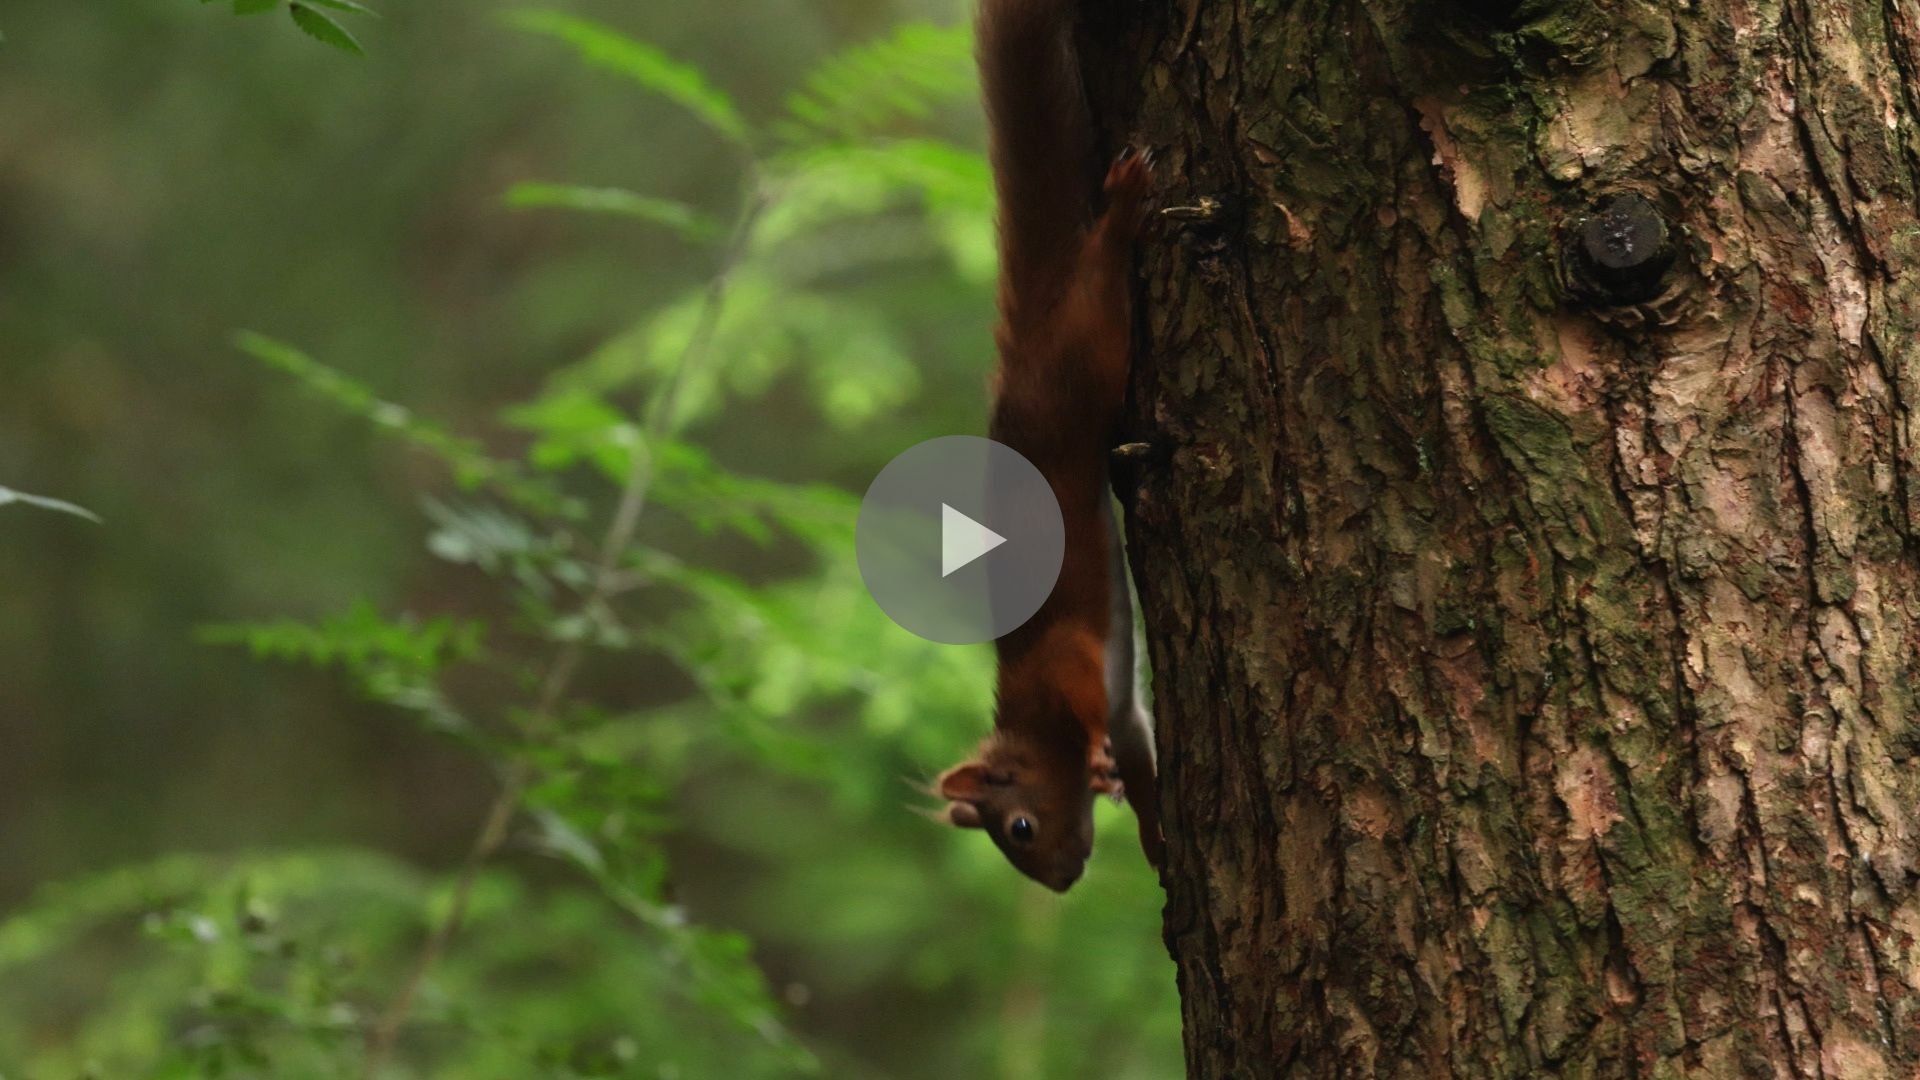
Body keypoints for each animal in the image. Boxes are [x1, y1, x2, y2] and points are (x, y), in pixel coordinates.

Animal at [933, 0, 1162, 892]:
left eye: (1019, 827)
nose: (1061, 882)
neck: (1031, 724)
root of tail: (1023, 358)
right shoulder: (1135, 718)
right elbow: (1143, 757)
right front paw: (1156, 830)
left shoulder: (1061, 663)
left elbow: (1087, 702)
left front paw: (1094, 760)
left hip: (1084, 354)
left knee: (1101, 277)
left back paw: (1126, 207)